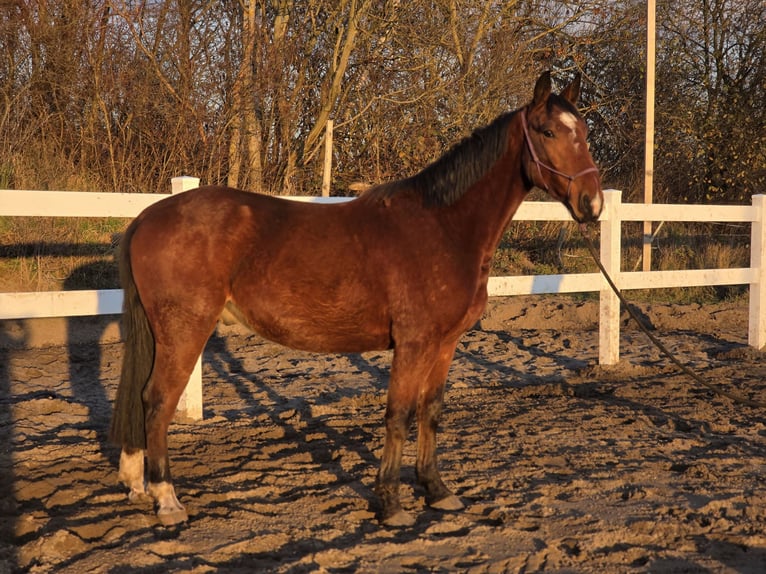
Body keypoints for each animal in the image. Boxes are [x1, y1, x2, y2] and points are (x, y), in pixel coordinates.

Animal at [109, 71, 603, 527]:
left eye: (583, 131)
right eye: (547, 131)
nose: (592, 204)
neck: (444, 226)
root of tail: (148, 216)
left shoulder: (444, 344)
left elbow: (431, 412)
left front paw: (437, 491)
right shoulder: (413, 344)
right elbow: (397, 415)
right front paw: (391, 503)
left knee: (141, 398)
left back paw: (137, 485)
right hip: (184, 330)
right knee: (157, 401)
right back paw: (168, 501)